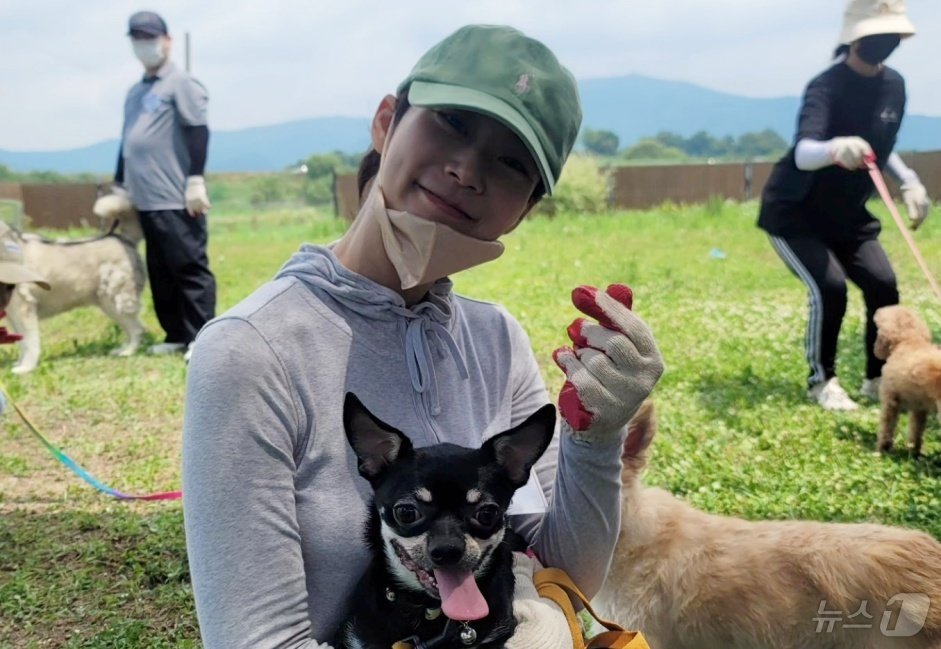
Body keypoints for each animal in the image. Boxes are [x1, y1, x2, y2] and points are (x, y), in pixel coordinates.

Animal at [872, 306, 936, 454]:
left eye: (877, 330)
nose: (873, 348)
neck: (908, 341)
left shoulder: (890, 401)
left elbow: (887, 427)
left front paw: (882, 449)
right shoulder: (919, 408)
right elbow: (916, 431)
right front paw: (914, 451)